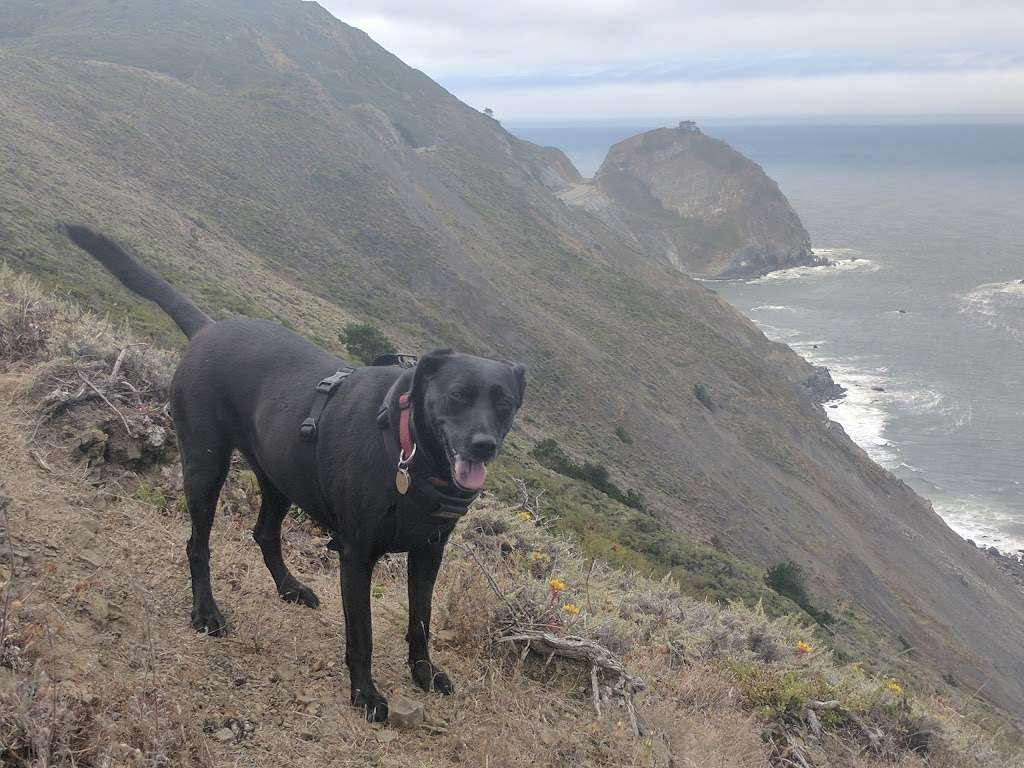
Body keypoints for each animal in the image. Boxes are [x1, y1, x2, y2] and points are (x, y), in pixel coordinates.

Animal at [65, 225, 528, 724]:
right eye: (458, 395)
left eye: (505, 403)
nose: (484, 444)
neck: (410, 454)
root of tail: (209, 327)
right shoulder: (356, 554)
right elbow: (361, 634)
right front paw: (365, 694)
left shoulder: (428, 553)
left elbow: (419, 621)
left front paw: (424, 673)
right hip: (206, 468)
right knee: (197, 545)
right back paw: (206, 612)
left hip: (278, 476)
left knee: (265, 533)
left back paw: (289, 587)